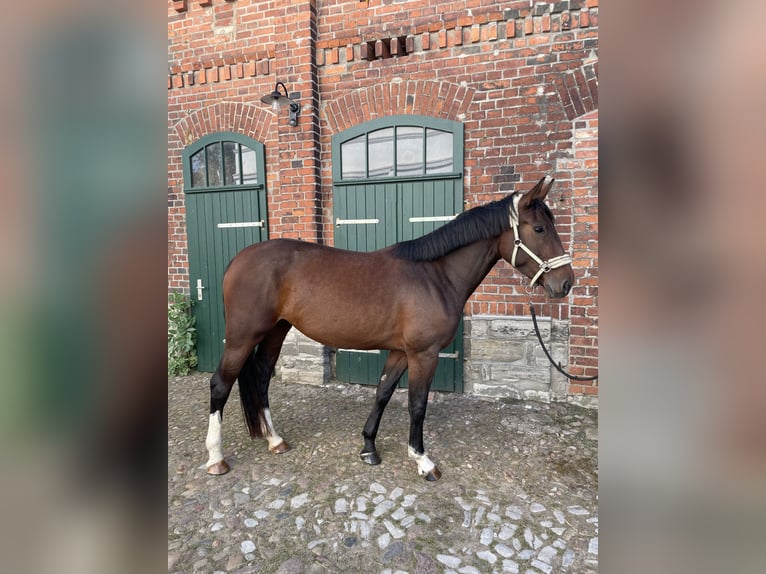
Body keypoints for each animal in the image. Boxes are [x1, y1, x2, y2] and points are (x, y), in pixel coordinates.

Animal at [207, 176, 572, 482]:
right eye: (539, 229)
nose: (566, 282)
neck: (435, 275)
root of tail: (237, 260)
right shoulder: (424, 354)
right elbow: (418, 405)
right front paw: (422, 460)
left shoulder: (400, 351)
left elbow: (382, 393)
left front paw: (368, 447)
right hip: (243, 336)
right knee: (220, 384)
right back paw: (216, 458)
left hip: (276, 331)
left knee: (262, 378)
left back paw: (275, 440)